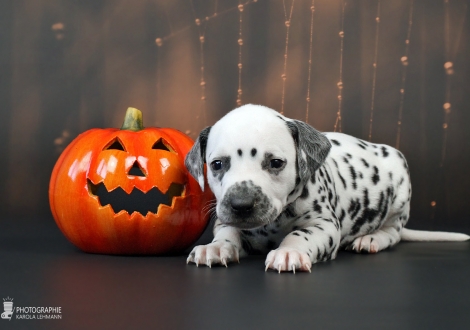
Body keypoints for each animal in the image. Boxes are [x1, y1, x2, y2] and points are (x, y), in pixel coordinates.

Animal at [185, 104, 470, 272]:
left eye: (275, 163)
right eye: (217, 164)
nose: (241, 205)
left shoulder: (324, 225)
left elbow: (300, 235)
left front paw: (288, 251)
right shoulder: (226, 221)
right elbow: (228, 233)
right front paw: (215, 247)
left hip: (399, 187)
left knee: (394, 232)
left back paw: (371, 239)